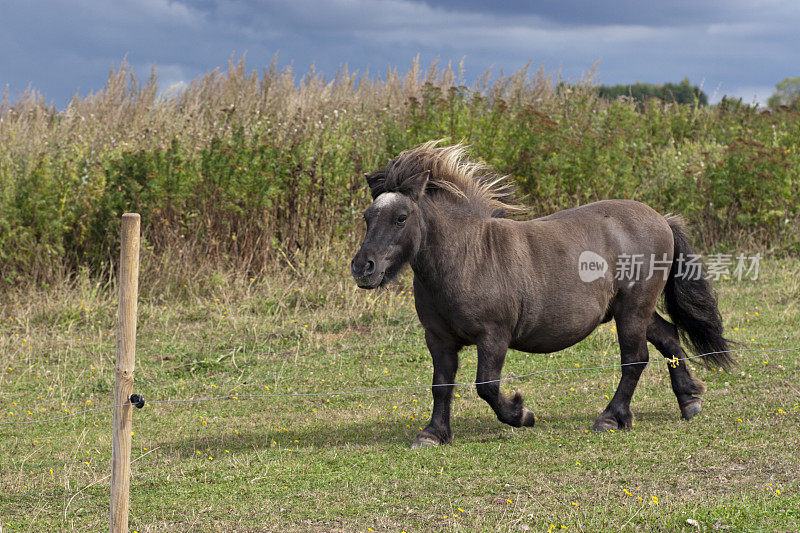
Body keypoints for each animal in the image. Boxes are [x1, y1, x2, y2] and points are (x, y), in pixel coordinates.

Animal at [350, 140, 732, 444]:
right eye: (368, 217)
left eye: (401, 217)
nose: (363, 267)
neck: (467, 256)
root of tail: (662, 220)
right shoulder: (439, 340)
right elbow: (441, 385)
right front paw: (433, 434)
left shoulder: (494, 337)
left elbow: (486, 386)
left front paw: (521, 414)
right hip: (633, 310)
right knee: (668, 336)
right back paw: (689, 400)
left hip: (632, 311)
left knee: (635, 359)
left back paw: (610, 417)